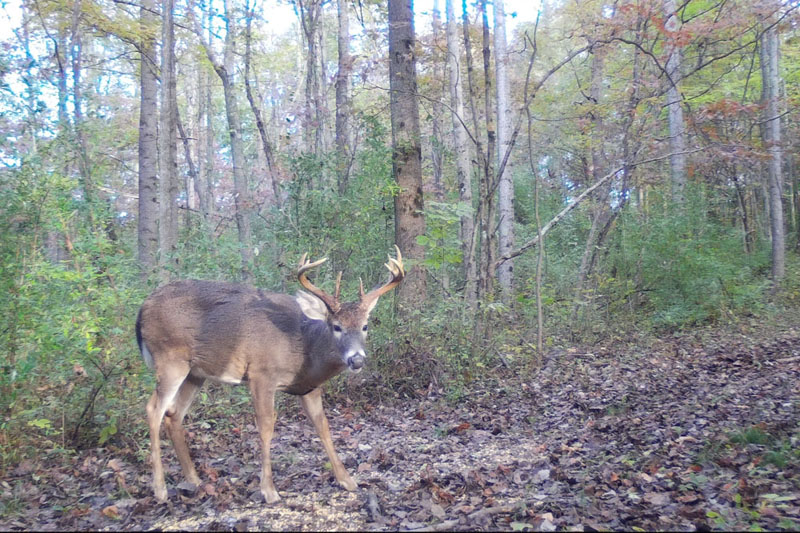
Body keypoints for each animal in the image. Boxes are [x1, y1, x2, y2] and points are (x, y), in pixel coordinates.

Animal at [135, 247, 404, 504]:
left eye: (365, 326)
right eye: (336, 327)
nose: (356, 359)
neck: (303, 346)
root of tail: (143, 307)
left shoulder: (308, 387)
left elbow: (323, 426)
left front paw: (347, 480)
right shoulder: (261, 374)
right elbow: (266, 426)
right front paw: (269, 491)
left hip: (195, 373)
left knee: (173, 415)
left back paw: (194, 480)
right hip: (170, 359)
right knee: (153, 409)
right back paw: (160, 490)